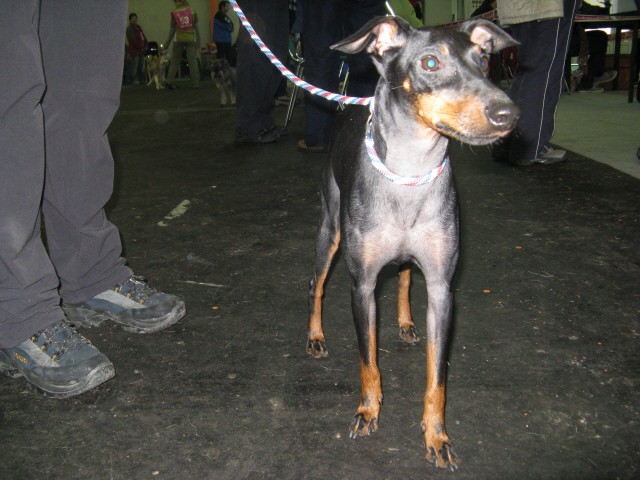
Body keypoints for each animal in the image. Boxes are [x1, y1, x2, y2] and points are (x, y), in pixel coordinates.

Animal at [306, 17, 520, 468]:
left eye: (484, 59)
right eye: (430, 62)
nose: (508, 114)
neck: (409, 174)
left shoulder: (441, 289)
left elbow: (437, 378)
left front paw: (437, 435)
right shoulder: (363, 286)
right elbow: (368, 361)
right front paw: (368, 411)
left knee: (405, 275)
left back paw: (405, 323)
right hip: (329, 231)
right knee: (316, 283)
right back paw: (315, 337)